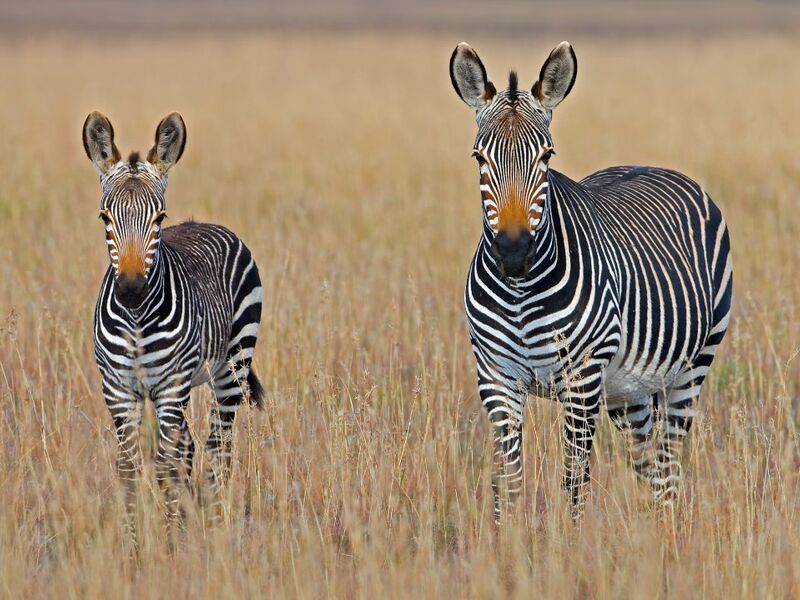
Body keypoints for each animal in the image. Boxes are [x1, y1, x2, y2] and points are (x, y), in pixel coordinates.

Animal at [84, 110, 266, 540]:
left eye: (159, 218)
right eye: (104, 217)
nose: (132, 289)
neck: (136, 321)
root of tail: (205, 224)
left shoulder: (170, 388)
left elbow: (165, 468)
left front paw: (168, 546)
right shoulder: (118, 390)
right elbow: (130, 469)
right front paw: (134, 545)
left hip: (231, 368)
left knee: (218, 447)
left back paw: (215, 526)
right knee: (191, 448)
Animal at [446, 42, 736, 524]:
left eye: (546, 156)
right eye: (479, 158)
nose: (513, 253)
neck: (520, 293)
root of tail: (652, 165)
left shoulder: (582, 379)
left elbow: (573, 482)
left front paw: (570, 544)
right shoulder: (496, 378)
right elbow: (507, 484)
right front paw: (502, 544)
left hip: (692, 366)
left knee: (669, 464)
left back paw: (668, 534)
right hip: (628, 390)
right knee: (648, 463)